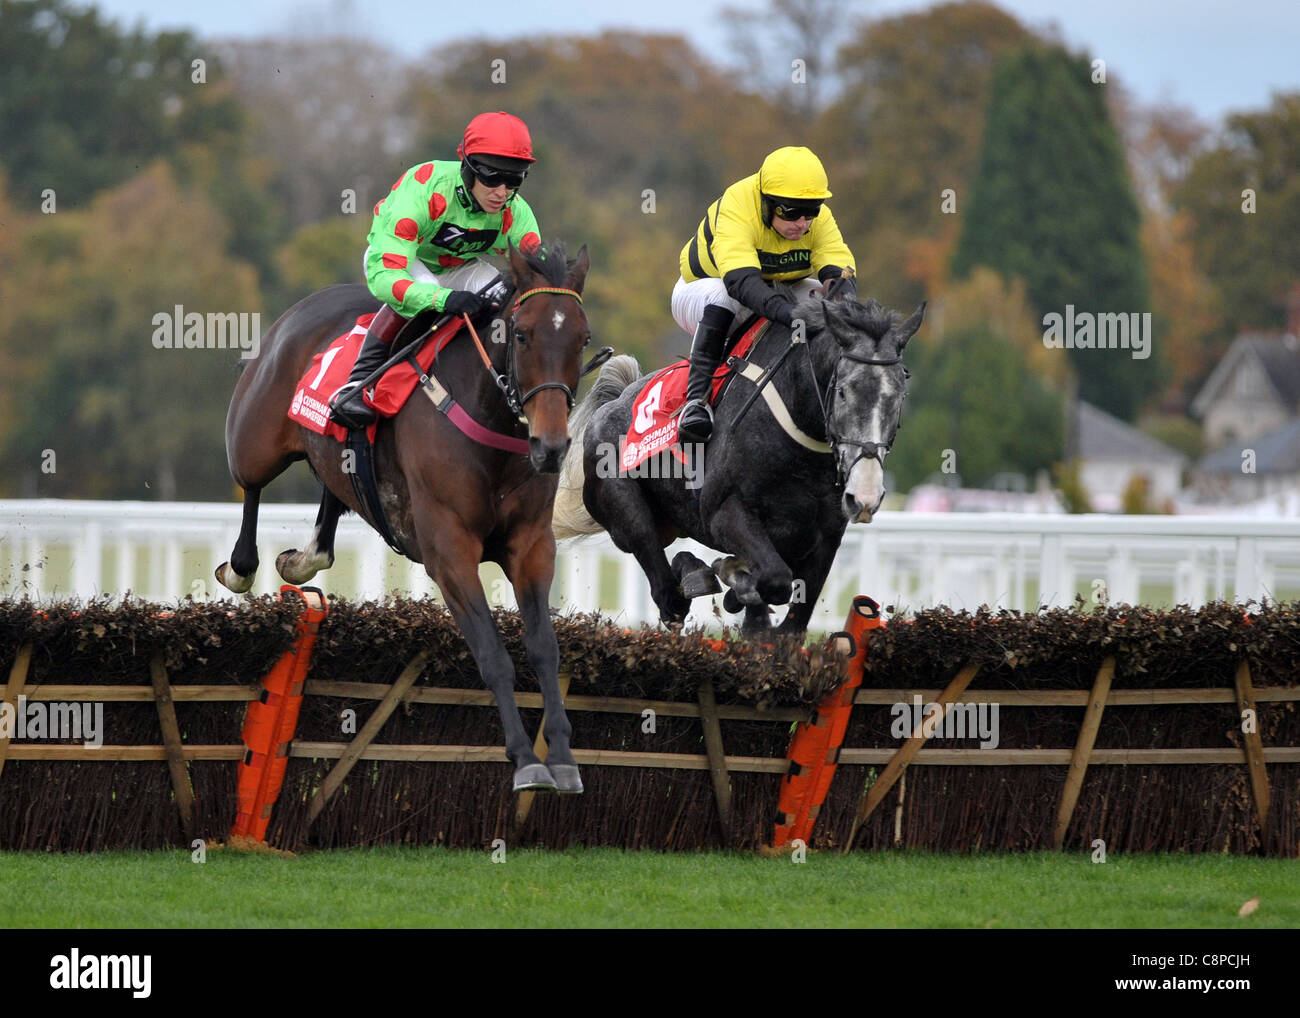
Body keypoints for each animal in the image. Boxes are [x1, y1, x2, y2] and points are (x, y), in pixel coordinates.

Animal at [215, 240, 592, 795]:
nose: (550, 447)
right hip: (255, 439)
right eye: (521, 334)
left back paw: (304, 559)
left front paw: (562, 756)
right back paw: (242, 567)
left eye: (582, 339)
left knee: (334, 485)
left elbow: (544, 648)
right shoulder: (450, 552)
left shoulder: (531, 547)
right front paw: (525, 760)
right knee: (251, 484)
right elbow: (493, 655)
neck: (487, 418)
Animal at [559, 291, 925, 631]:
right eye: (843, 391)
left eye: (899, 396)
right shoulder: (725, 513)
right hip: (626, 515)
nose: (864, 496)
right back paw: (695, 575)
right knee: (666, 591)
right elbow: (774, 580)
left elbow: (790, 620)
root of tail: (615, 401)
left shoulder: (825, 537)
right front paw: (737, 584)